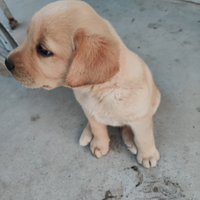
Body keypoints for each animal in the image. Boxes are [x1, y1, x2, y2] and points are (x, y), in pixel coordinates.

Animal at [4, 0, 161, 168]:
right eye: (27, 36)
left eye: (43, 50)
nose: (6, 63)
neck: (101, 90)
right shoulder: (91, 112)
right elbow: (98, 129)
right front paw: (99, 144)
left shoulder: (141, 118)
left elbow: (143, 138)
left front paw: (147, 154)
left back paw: (130, 139)